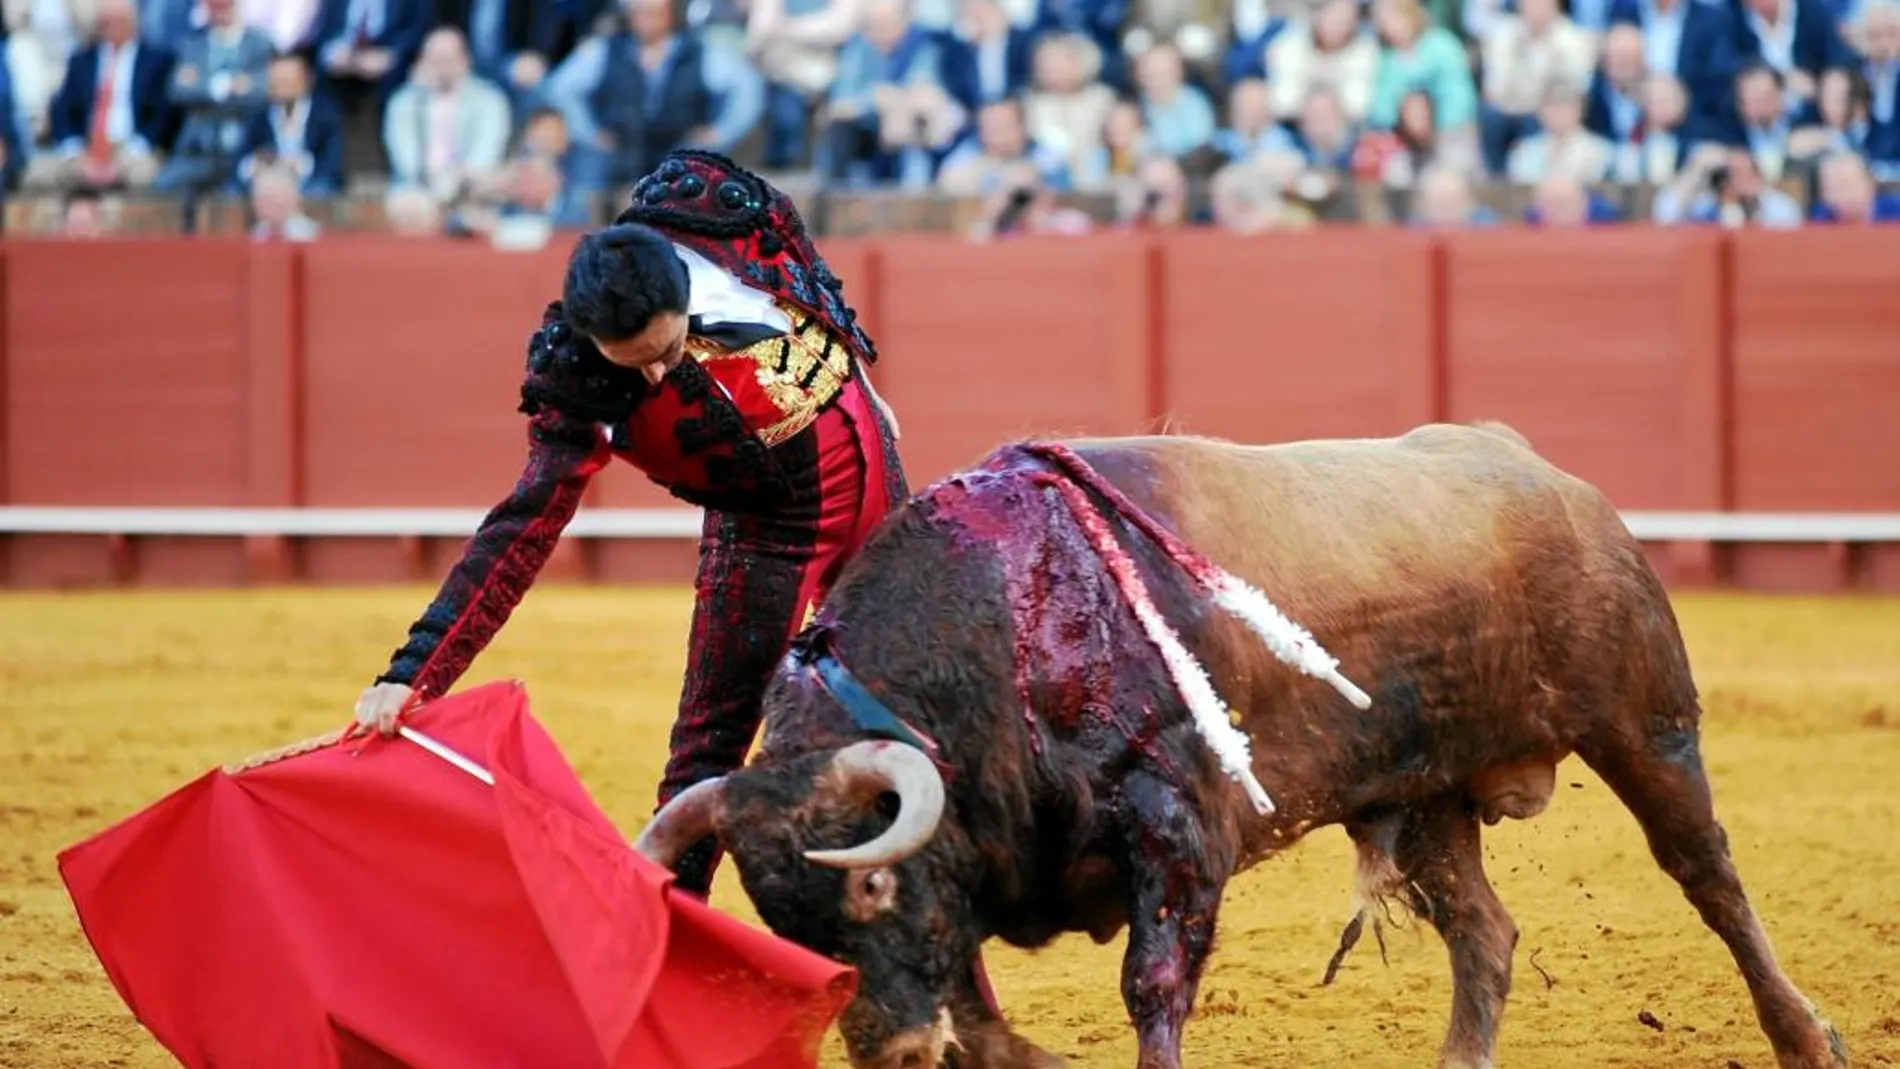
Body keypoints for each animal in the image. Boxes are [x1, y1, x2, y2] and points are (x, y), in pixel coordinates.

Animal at [634, 423, 1839, 1069]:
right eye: (782, 918)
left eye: (875, 886)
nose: (886, 1050)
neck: (1000, 630)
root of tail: (1538, 468)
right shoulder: (982, 868)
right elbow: (980, 1022)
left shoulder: (1174, 831)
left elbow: (1151, 982)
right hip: (1428, 794)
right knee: (1485, 932)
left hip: (1646, 723)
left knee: (1709, 878)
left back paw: (1804, 1035)